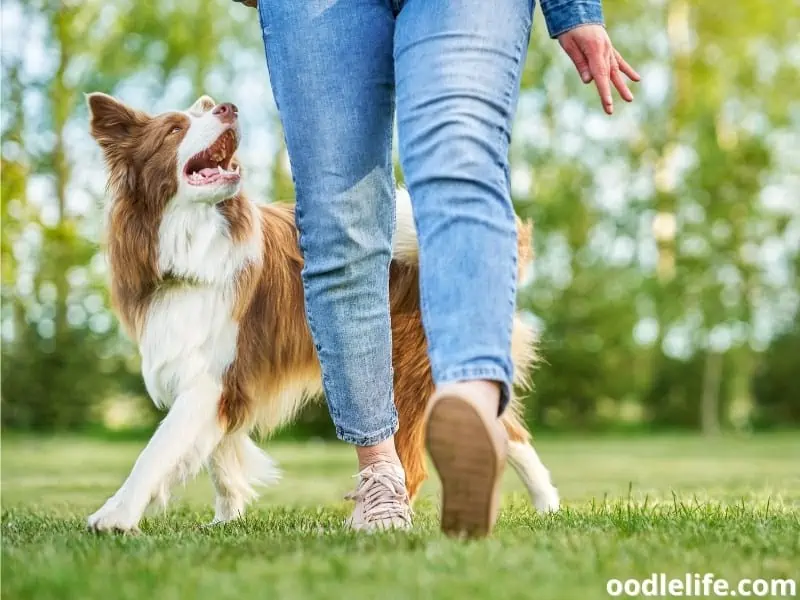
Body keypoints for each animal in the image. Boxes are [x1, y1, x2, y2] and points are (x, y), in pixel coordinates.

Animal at [83, 91, 556, 532]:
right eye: (175, 130)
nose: (228, 108)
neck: (192, 244)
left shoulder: (211, 377)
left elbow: (158, 450)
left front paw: (116, 515)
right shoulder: (220, 377)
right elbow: (220, 456)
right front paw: (226, 519)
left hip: (409, 374)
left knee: (419, 464)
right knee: (508, 430)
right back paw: (548, 505)